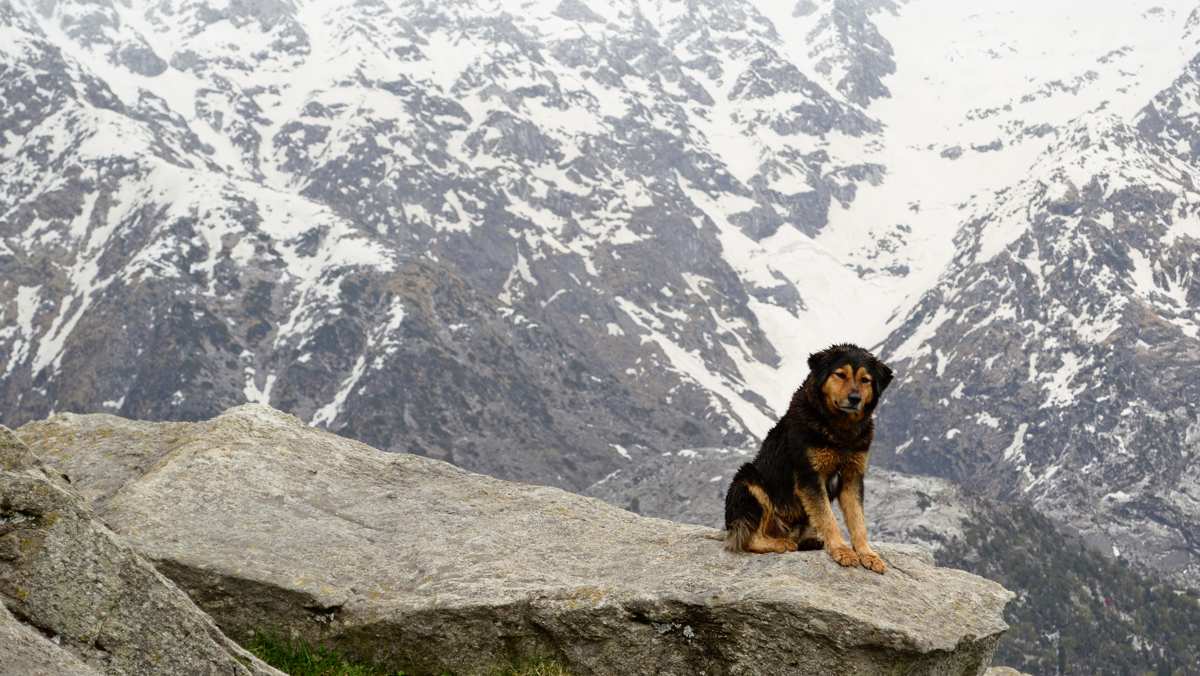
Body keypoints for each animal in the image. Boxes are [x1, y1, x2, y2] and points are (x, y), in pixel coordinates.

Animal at [720, 345, 892, 573]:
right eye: (840, 374)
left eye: (865, 380)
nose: (855, 398)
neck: (839, 431)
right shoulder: (810, 475)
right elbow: (828, 518)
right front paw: (841, 550)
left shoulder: (852, 477)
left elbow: (858, 521)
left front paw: (867, 554)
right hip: (748, 479)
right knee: (748, 538)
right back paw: (781, 543)